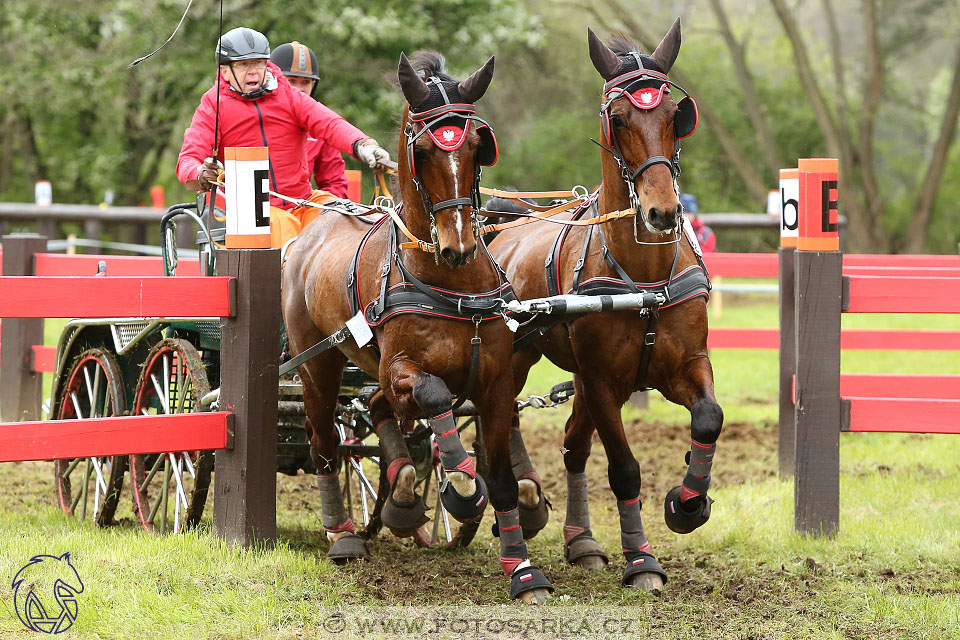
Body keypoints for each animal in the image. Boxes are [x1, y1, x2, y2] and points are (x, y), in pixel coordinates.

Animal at [284, 52, 556, 604]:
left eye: (476, 146)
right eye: (424, 150)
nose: (457, 246)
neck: (451, 283)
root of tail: (314, 227)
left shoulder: (497, 384)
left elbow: (500, 473)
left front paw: (522, 569)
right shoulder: (403, 370)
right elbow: (434, 399)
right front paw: (462, 488)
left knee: (372, 407)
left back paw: (402, 499)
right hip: (318, 365)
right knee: (325, 441)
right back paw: (344, 534)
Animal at [492, 20, 724, 592]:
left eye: (676, 116)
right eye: (617, 119)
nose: (662, 212)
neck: (643, 281)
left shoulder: (686, 365)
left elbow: (708, 418)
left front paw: (687, 504)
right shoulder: (601, 381)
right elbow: (624, 469)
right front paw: (641, 559)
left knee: (572, 445)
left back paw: (582, 541)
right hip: (515, 357)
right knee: (504, 421)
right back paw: (524, 504)